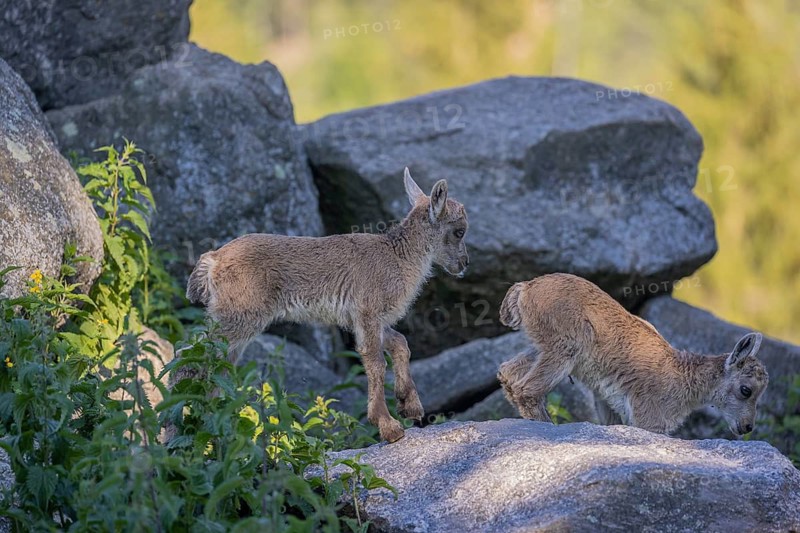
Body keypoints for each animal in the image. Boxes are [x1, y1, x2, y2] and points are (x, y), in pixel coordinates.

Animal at [185, 168, 469, 442]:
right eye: (459, 231)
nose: (464, 263)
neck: (397, 259)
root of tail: (213, 260)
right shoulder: (367, 312)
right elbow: (375, 361)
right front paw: (388, 427)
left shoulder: (369, 320)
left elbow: (400, 344)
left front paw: (410, 406)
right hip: (238, 316)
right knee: (194, 355)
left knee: (217, 364)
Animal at [497, 273, 768, 435]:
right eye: (746, 390)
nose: (747, 427)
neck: (682, 377)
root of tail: (525, 288)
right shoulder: (648, 419)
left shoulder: (610, 406)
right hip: (563, 350)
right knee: (527, 389)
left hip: (541, 347)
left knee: (507, 372)